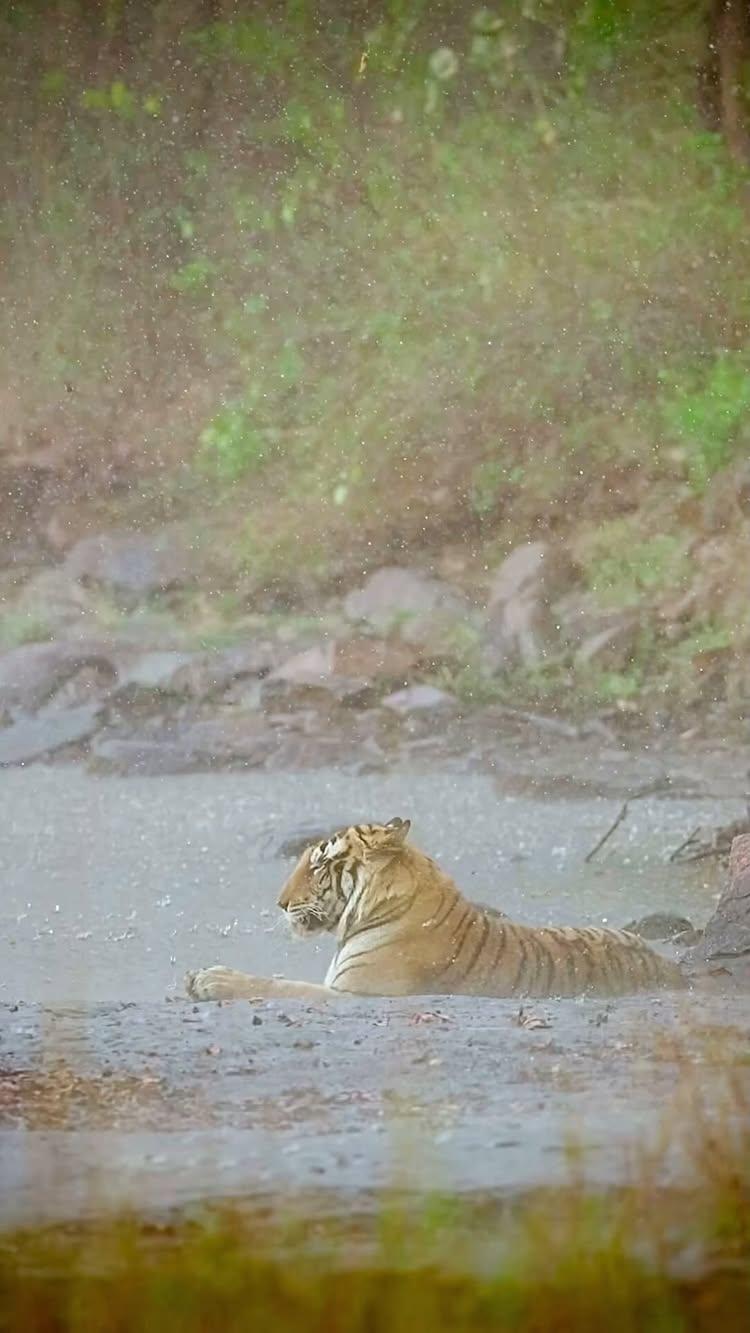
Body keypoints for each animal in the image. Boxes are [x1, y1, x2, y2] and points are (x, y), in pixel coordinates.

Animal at [186, 810, 687, 1002]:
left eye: (319, 864)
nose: (280, 902)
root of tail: (673, 970)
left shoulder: (355, 994)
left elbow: (280, 985)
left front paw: (210, 979)